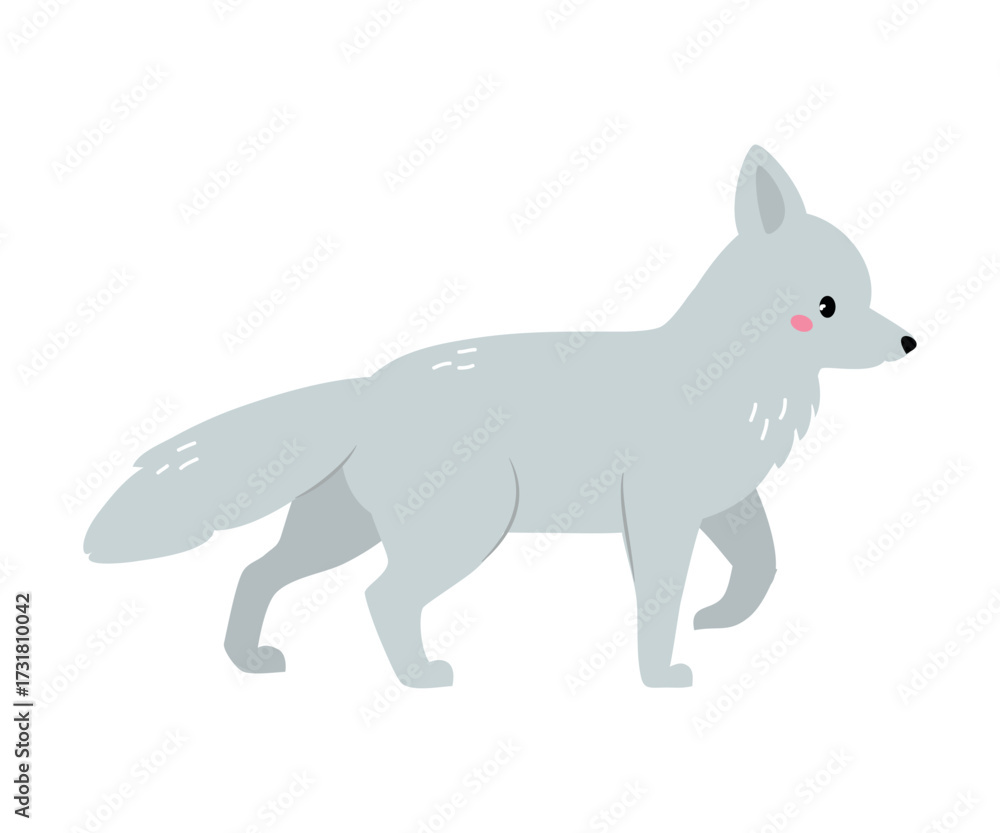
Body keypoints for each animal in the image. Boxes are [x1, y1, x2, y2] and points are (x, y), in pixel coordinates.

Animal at [85, 146, 916, 688]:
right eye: (828, 305)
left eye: (866, 295)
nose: (909, 341)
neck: (729, 375)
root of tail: (370, 386)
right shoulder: (660, 515)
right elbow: (660, 600)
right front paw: (659, 675)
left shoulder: (726, 506)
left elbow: (762, 568)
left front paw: (720, 621)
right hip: (462, 533)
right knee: (381, 597)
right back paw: (419, 676)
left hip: (339, 532)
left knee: (258, 571)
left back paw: (249, 661)